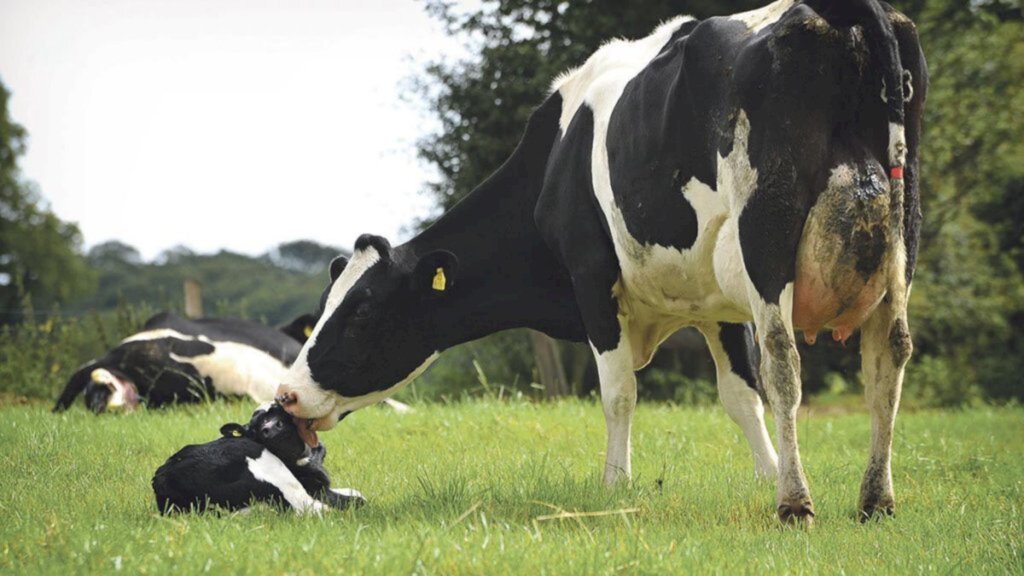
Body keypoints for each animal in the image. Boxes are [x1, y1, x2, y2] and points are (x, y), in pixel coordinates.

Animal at [276, 0, 925, 522]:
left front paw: (616, 485)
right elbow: (741, 395)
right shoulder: (711, 299)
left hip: (767, 237)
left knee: (785, 361)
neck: (550, 165)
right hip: (900, 237)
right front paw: (764, 473)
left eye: (361, 311)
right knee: (888, 358)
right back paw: (876, 501)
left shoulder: (593, 278)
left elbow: (618, 392)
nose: (286, 396)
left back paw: (796, 503)